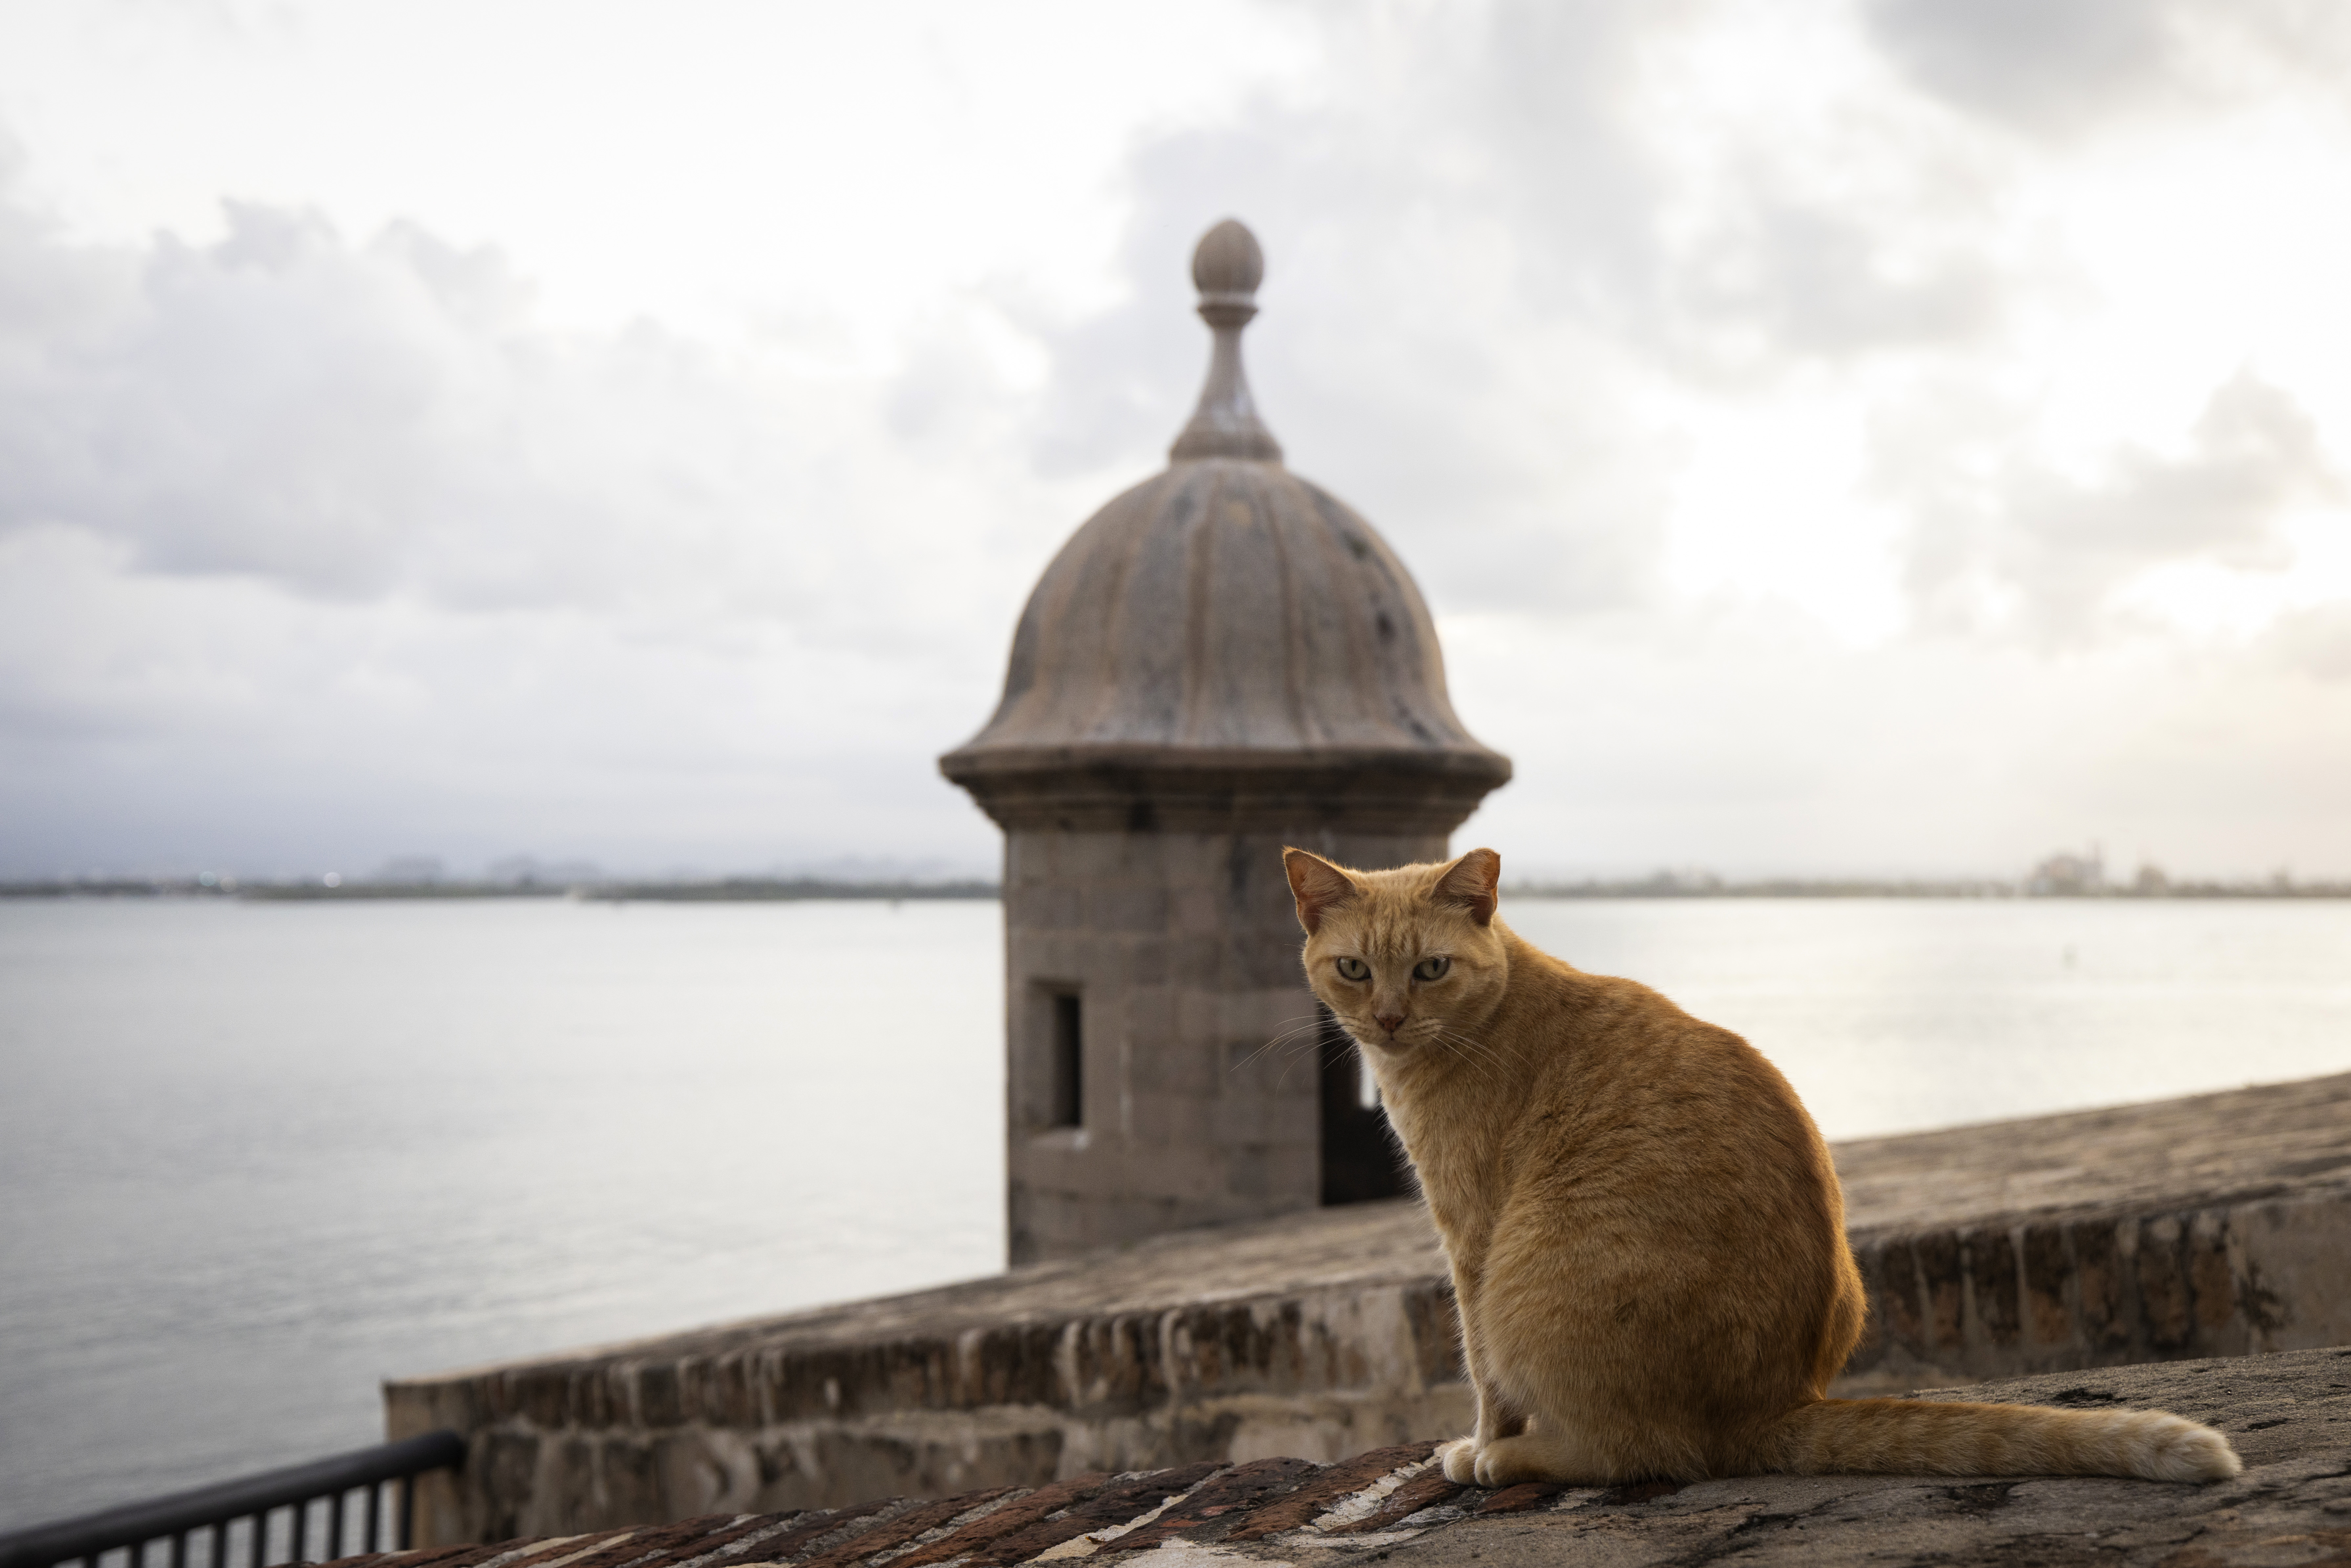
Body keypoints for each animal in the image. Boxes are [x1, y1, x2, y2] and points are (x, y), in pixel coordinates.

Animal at [1288, 851, 2238, 1495]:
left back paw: (1503, 1460)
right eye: (1354, 968)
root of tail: (1771, 1405)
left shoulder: (1471, 1238)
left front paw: (1480, 1439)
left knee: (1636, 1453)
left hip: (1528, 1280)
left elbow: (1483, 1370)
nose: (1388, 1018)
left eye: (1431, 968)